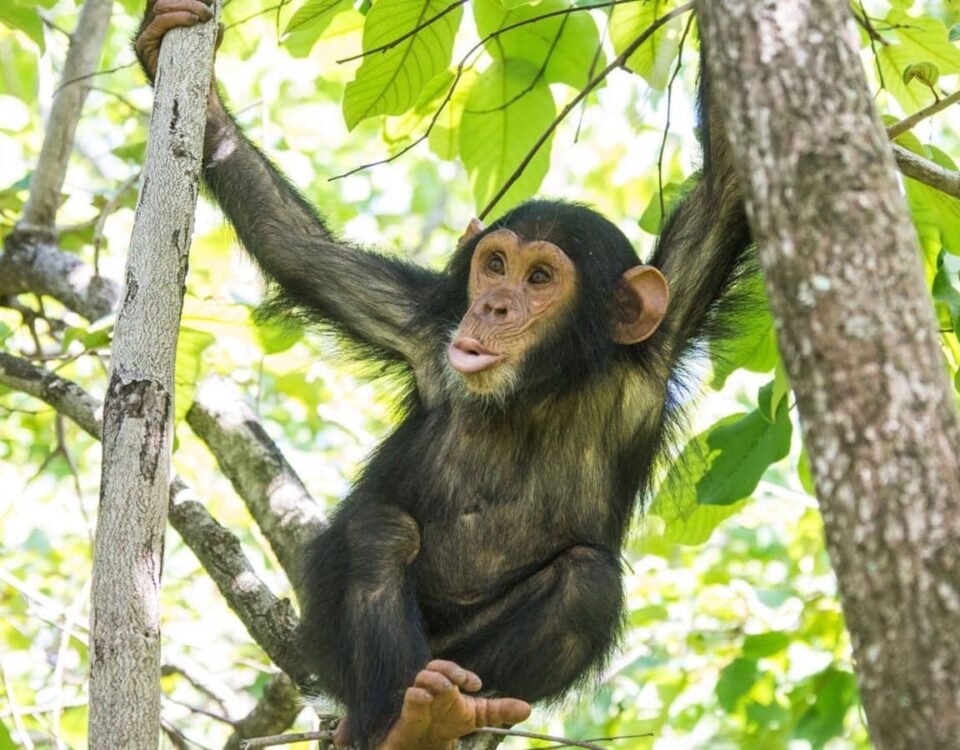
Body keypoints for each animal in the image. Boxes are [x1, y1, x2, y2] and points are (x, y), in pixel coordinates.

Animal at [135, 2, 751, 748]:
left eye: (539, 279)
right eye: (495, 264)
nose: (492, 306)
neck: (538, 390)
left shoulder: (659, 342)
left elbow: (727, 189)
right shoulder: (423, 326)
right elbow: (300, 251)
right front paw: (176, 66)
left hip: (463, 655)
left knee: (587, 582)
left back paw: (450, 713)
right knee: (380, 531)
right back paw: (405, 720)